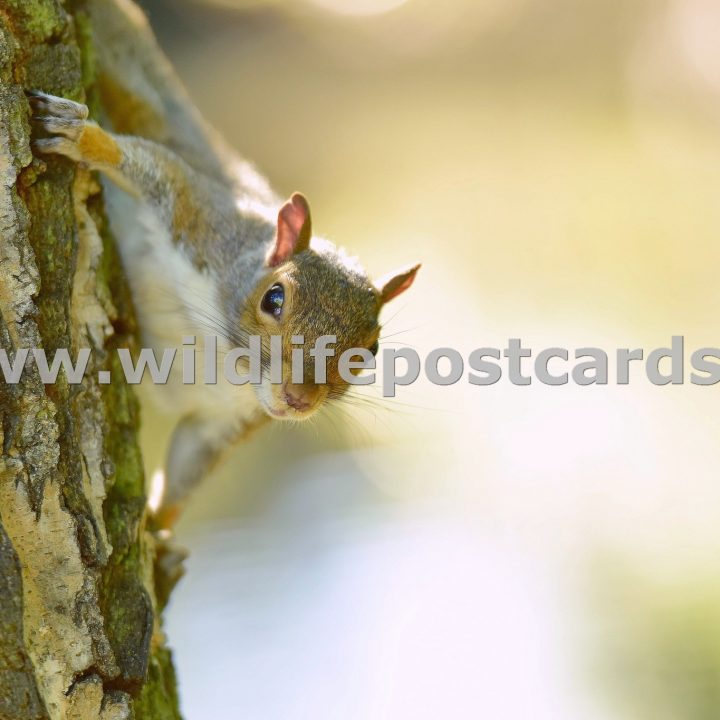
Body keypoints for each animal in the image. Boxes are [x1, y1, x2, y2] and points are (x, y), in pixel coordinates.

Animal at [29, 0, 422, 528]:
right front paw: (84, 138)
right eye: (273, 298)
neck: (225, 359)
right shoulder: (201, 219)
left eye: (371, 350)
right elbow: (154, 168)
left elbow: (188, 468)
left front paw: (155, 533)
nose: (298, 400)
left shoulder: (224, 423)